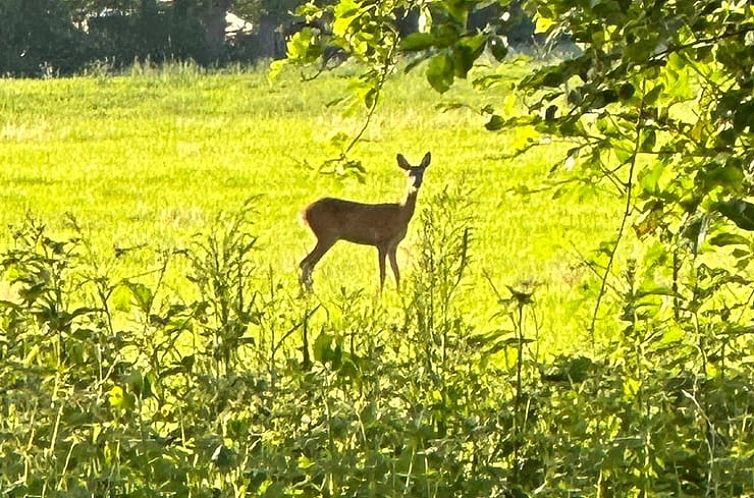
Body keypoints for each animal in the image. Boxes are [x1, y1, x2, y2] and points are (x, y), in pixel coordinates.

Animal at [298, 153, 432, 292]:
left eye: (422, 172)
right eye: (409, 173)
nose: (416, 183)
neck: (400, 213)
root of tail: (304, 212)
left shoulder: (393, 245)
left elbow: (396, 273)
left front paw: (399, 294)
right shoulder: (381, 241)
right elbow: (382, 273)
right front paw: (380, 295)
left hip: (326, 236)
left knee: (306, 264)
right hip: (327, 235)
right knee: (306, 264)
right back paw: (309, 294)